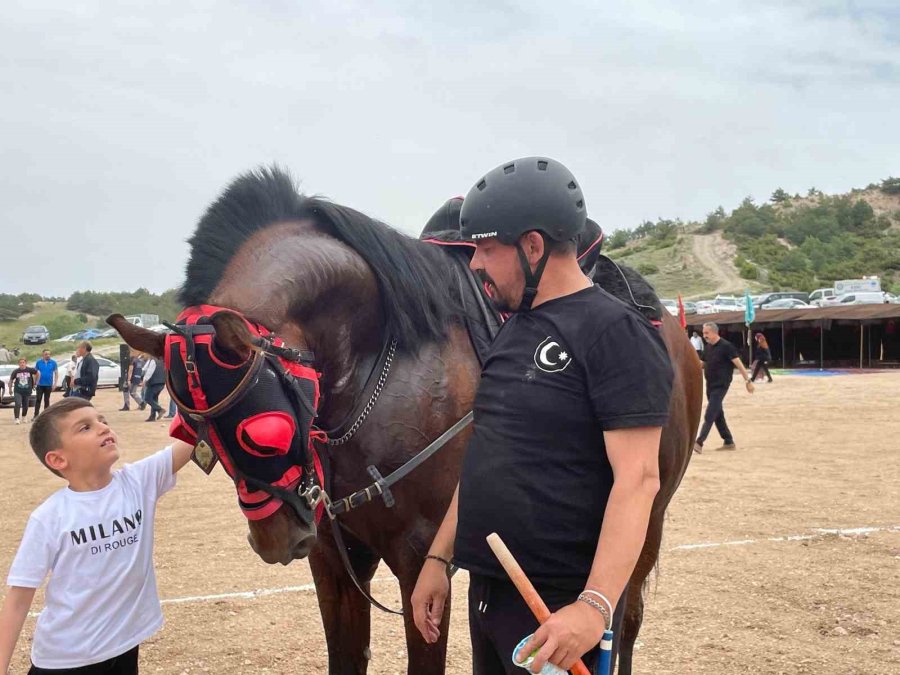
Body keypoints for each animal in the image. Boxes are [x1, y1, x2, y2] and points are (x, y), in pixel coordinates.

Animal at [110, 168, 704, 675]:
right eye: (193, 431)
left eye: (265, 431)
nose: (275, 541)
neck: (380, 364)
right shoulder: (334, 558)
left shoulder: (419, 562)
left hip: (645, 520)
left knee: (624, 620)